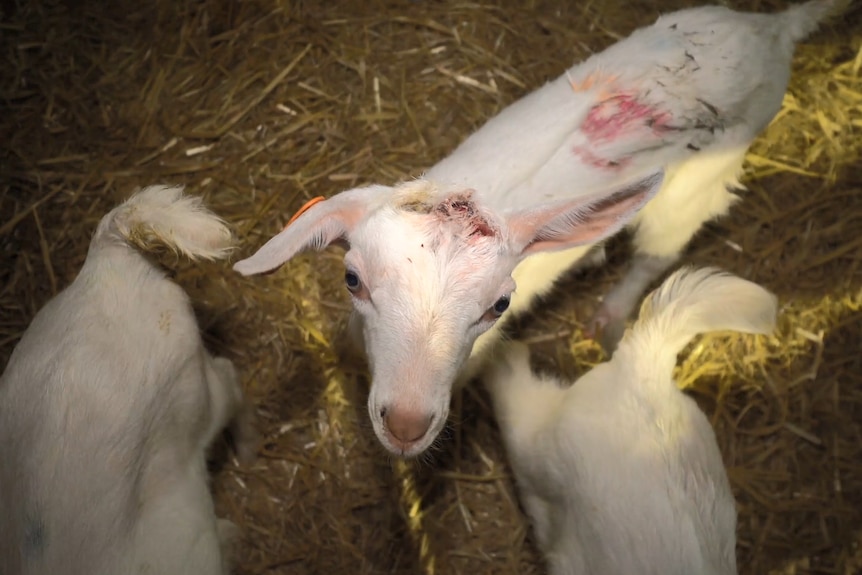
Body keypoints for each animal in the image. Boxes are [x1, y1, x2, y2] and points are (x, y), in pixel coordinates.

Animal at [233, 1, 840, 460]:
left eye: (500, 305)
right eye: (352, 279)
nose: (406, 425)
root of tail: (772, 30)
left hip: (699, 184)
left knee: (656, 253)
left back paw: (610, 313)